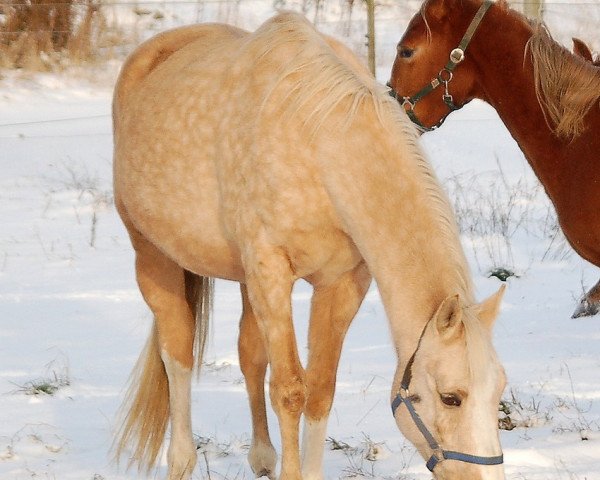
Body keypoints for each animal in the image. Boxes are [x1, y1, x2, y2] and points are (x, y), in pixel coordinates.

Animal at [112, 10, 506, 480]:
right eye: (451, 398)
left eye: (499, 392)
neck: (319, 146)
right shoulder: (271, 272)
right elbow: (289, 390)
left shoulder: (340, 284)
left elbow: (319, 390)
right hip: (155, 259)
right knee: (179, 355)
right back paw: (183, 457)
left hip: (244, 280)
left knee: (250, 355)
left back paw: (263, 457)